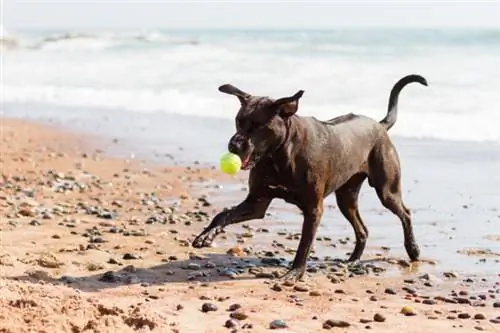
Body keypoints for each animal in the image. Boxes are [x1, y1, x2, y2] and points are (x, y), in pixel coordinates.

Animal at [193, 74, 428, 278]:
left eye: (259, 125)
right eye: (238, 121)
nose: (233, 145)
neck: (278, 155)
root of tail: (379, 125)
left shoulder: (314, 209)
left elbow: (304, 244)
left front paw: (294, 273)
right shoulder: (257, 202)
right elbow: (222, 215)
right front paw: (205, 235)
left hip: (386, 189)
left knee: (405, 213)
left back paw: (413, 249)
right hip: (346, 197)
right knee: (362, 229)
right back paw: (353, 259)